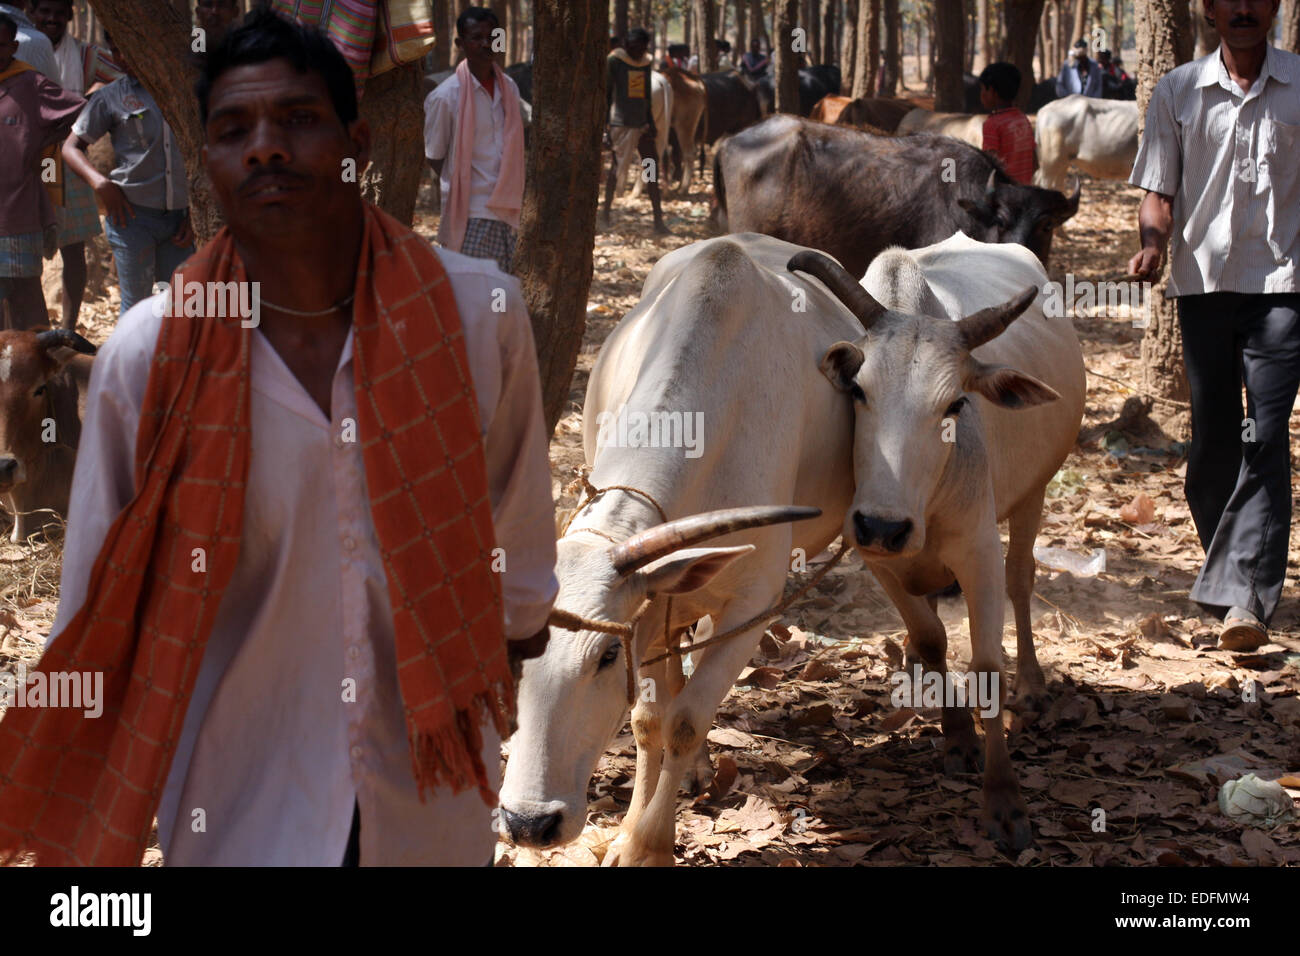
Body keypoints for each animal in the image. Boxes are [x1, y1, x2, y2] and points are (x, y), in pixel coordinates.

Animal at [499, 234, 863, 868]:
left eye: (606, 656)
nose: (528, 823)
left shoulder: (751, 605)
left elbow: (686, 721)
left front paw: (648, 845)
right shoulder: (652, 610)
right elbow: (649, 720)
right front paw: (627, 830)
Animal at [800, 234, 1086, 853]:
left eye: (956, 404)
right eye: (857, 390)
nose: (885, 525)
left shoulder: (977, 553)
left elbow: (986, 665)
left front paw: (1004, 803)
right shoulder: (877, 558)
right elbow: (931, 637)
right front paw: (956, 736)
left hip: (1034, 492)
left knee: (1022, 581)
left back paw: (1033, 687)